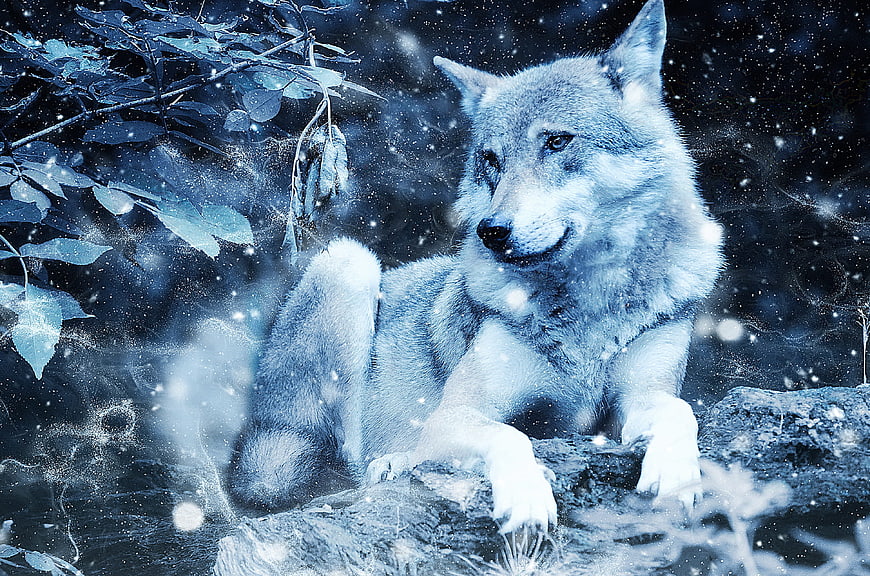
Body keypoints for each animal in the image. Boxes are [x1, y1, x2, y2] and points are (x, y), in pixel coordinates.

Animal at [227, 0, 723, 533]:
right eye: (491, 160)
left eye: (557, 142)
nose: (492, 230)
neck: (587, 304)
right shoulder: (453, 417)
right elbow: (513, 436)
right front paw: (527, 499)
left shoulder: (637, 401)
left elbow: (681, 410)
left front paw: (677, 475)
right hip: (349, 263)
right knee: (337, 470)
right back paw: (391, 463)